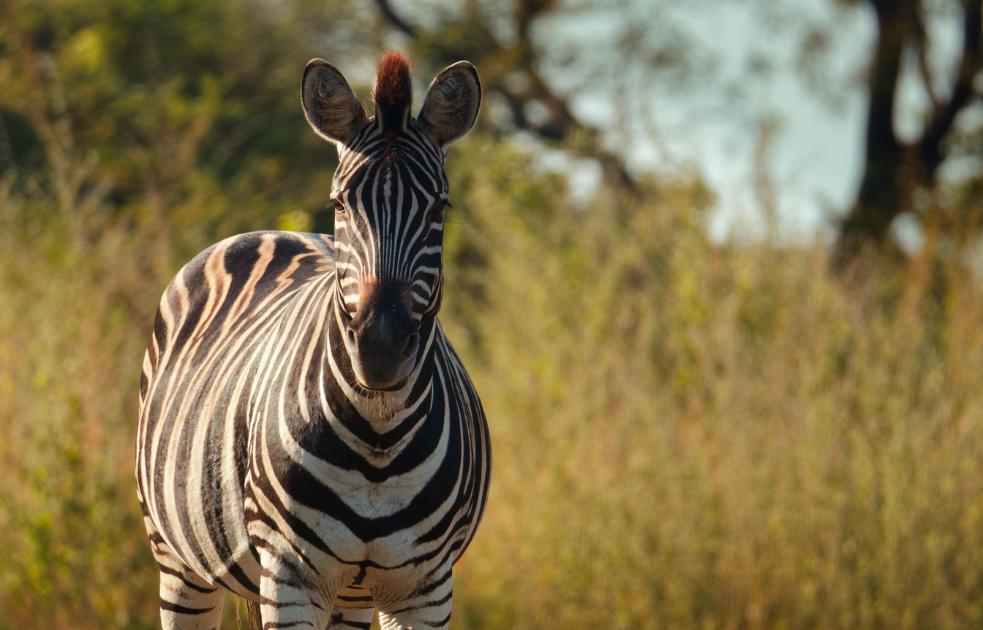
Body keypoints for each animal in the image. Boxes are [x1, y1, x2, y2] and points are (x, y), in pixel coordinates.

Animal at [135, 51, 490, 630]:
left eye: (440, 208)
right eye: (340, 203)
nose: (380, 349)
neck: (379, 441)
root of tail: (276, 231)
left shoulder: (426, 590)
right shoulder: (290, 575)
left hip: (351, 596)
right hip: (177, 560)